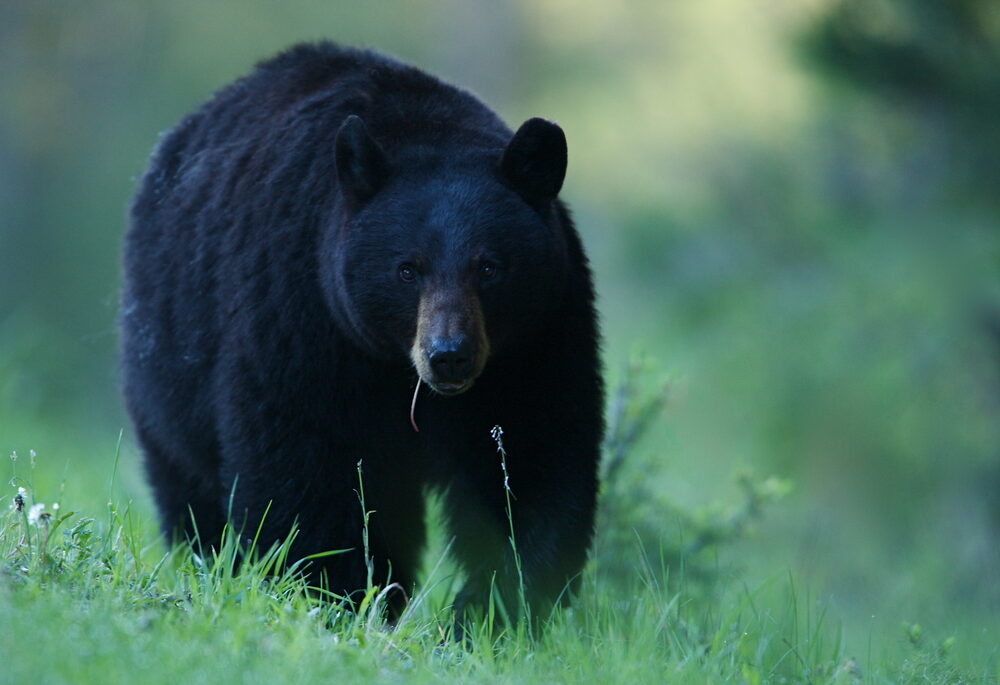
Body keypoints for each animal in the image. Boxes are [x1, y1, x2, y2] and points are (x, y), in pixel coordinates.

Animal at [121, 42, 603, 628]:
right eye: (407, 269)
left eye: (489, 267)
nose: (449, 356)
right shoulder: (300, 315)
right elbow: (304, 464)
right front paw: (336, 596)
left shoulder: (539, 337)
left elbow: (531, 457)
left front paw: (492, 610)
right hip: (168, 353)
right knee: (189, 484)